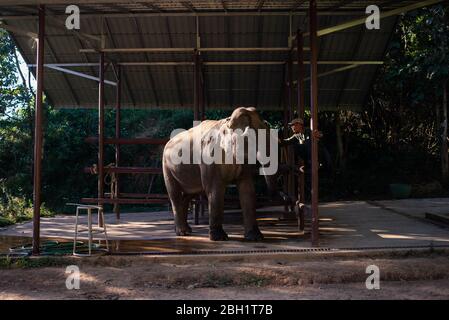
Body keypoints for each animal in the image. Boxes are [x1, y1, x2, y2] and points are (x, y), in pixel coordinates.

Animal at [161, 106, 272, 241]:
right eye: (249, 138)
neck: (226, 123)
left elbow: (247, 189)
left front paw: (255, 238)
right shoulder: (209, 156)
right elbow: (215, 189)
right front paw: (220, 238)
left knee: (188, 195)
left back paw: (187, 231)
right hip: (167, 166)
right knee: (175, 194)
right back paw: (182, 232)